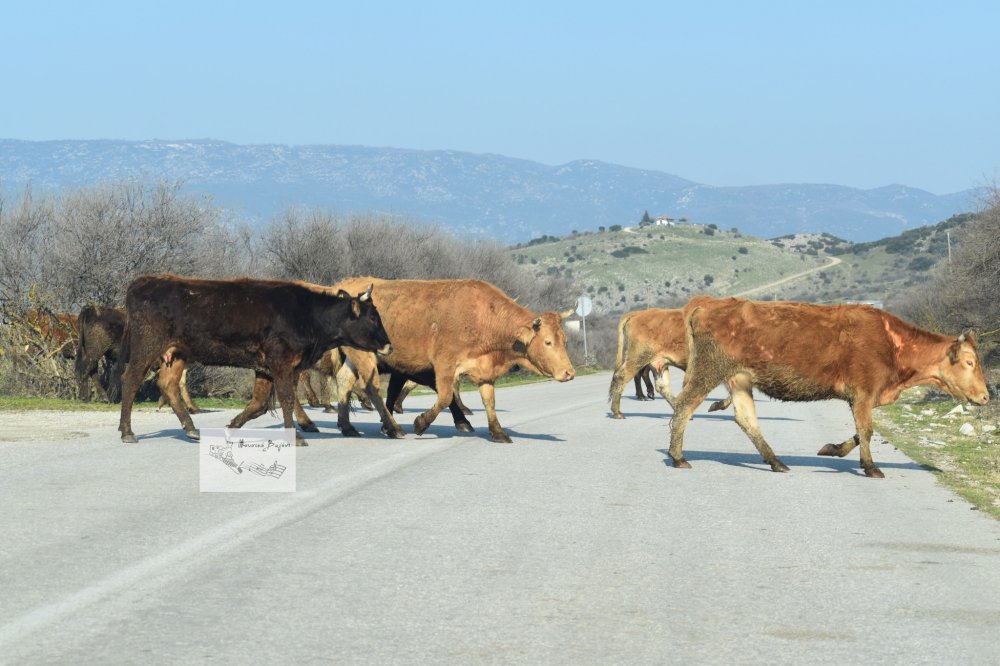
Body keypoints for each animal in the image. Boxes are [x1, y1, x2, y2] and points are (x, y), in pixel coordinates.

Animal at [116, 272, 390, 444]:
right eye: (372, 318)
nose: (388, 345)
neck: (306, 313)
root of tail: (143, 281)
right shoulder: (282, 365)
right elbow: (286, 400)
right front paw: (296, 436)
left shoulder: (266, 368)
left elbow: (258, 404)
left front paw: (231, 427)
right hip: (146, 348)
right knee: (130, 380)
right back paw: (127, 431)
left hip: (177, 353)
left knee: (168, 385)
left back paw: (191, 429)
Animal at [330, 274, 576, 440]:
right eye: (548, 342)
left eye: (565, 341)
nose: (569, 373)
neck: (483, 317)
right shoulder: (444, 365)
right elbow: (446, 397)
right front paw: (421, 423)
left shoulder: (484, 370)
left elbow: (489, 400)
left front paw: (498, 432)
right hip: (365, 356)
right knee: (371, 388)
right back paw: (392, 428)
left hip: (354, 357)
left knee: (345, 381)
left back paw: (348, 427)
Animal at [604, 308, 732, 420]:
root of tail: (638, 314)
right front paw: (717, 406)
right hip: (638, 357)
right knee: (622, 377)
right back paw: (618, 412)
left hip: (658, 363)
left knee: (660, 385)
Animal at [668, 296, 988, 478]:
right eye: (970, 362)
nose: (986, 396)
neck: (891, 343)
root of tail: (708, 304)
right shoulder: (863, 392)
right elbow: (866, 430)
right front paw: (870, 468)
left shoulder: (863, 398)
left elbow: (860, 432)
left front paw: (833, 449)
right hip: (709, 371)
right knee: (684, 406)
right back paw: (678, 457)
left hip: (740, 379)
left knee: (746, 419)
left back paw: (776, 462)